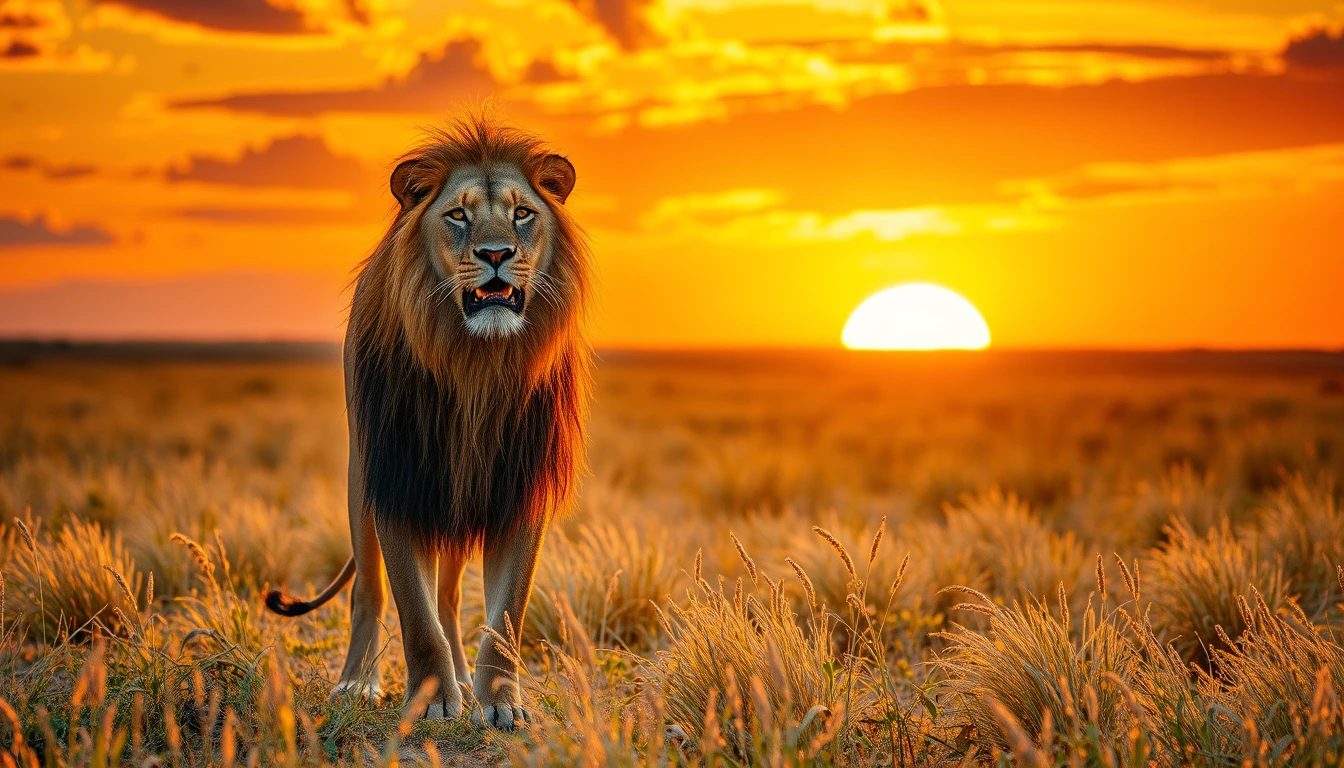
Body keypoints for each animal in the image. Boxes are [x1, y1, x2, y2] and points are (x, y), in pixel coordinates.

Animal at [263, 114, 592, 731]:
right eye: (458, 215)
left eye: (522, 213)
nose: (496, 253)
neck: (476, 363)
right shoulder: (399, 478)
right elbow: (414, 612)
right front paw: (434, 698)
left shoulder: (518, 487)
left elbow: (504, 615)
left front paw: (500, 701)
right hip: (362, 480)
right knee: (369, 591)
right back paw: (357, 682)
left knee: (449, 595)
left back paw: (463, 676)